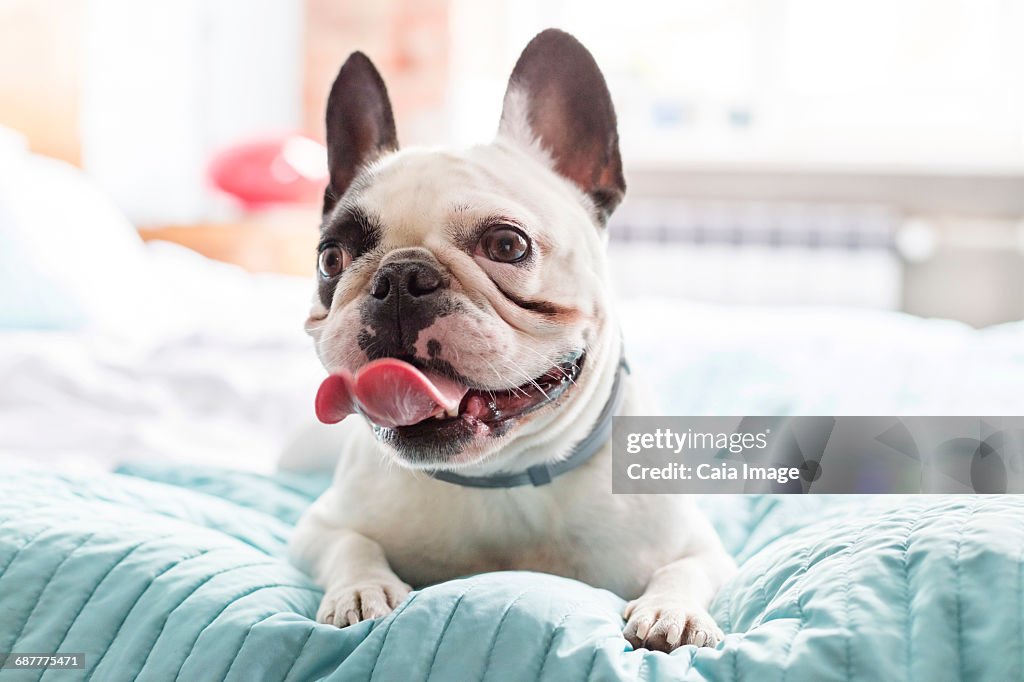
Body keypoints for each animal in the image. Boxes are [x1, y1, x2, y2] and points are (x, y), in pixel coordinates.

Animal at [288, 29, 737, 651]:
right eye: (331, 258)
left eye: (507, 245)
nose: (400, 277)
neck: (501, 477)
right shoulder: (316, 526)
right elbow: (350, 543)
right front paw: (362, 589)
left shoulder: (704, 549)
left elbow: (685, 570)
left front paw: (672, 610)